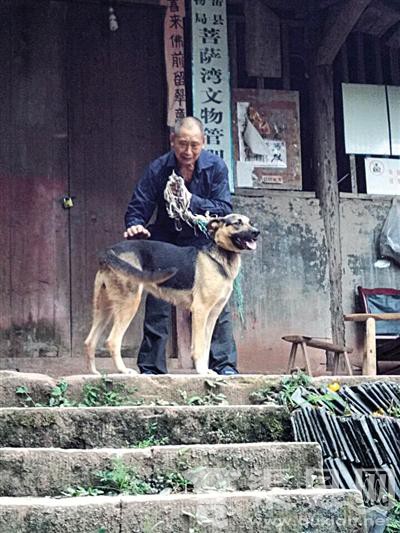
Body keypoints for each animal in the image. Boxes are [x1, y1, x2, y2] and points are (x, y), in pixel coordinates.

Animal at [84, 212, 260, 374]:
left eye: (250, 223)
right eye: (237, 223)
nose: (256, 232)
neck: (220, 256)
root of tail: (110, 251)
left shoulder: (213, 315)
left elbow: (205, 345)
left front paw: (205, 371)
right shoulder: (200, 310)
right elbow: (199, 347)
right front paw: (202, 372)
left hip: (104, 308)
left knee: (89, 341)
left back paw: (94, 373)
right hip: (129, 303)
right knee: (112, 341)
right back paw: (123, 371)